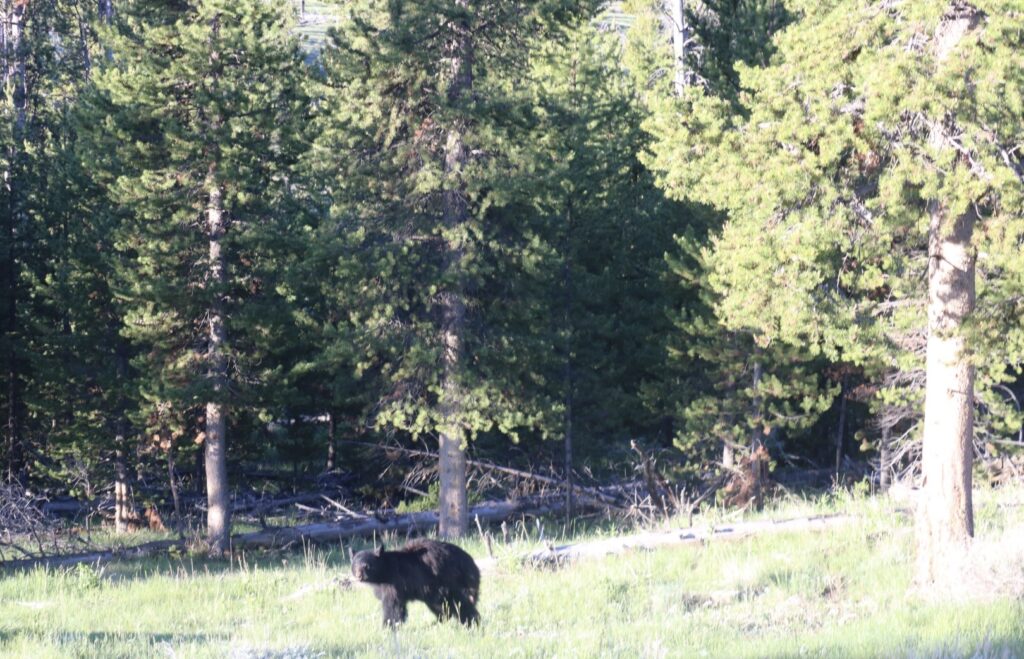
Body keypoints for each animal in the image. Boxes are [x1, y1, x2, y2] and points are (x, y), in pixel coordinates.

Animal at [351, 538, 481, 627]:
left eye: (366, 565)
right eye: (355, 565)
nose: (359, 576)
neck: (383, 572)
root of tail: (472, 564)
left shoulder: (394, 582)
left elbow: (393, 605)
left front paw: (387, 626)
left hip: (453, 582)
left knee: (461, 604)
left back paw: (472, 622)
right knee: (443, 607)